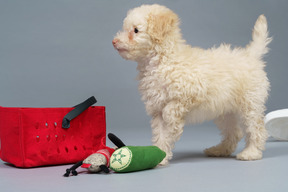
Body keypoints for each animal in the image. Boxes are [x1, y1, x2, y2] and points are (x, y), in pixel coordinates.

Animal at [111, 3, 272, 164]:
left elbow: (171, 112)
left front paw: (163, 150)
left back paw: (251, 152)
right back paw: (219, 150)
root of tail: (250, 55)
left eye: (135, 30)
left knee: (256, 129)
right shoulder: (157, 107)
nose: (114, 41)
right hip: (226, 110)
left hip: (250, 104)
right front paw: (160, 155)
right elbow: (161, 134)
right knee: (234, 132)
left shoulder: (190, 93)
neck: (163, 59)